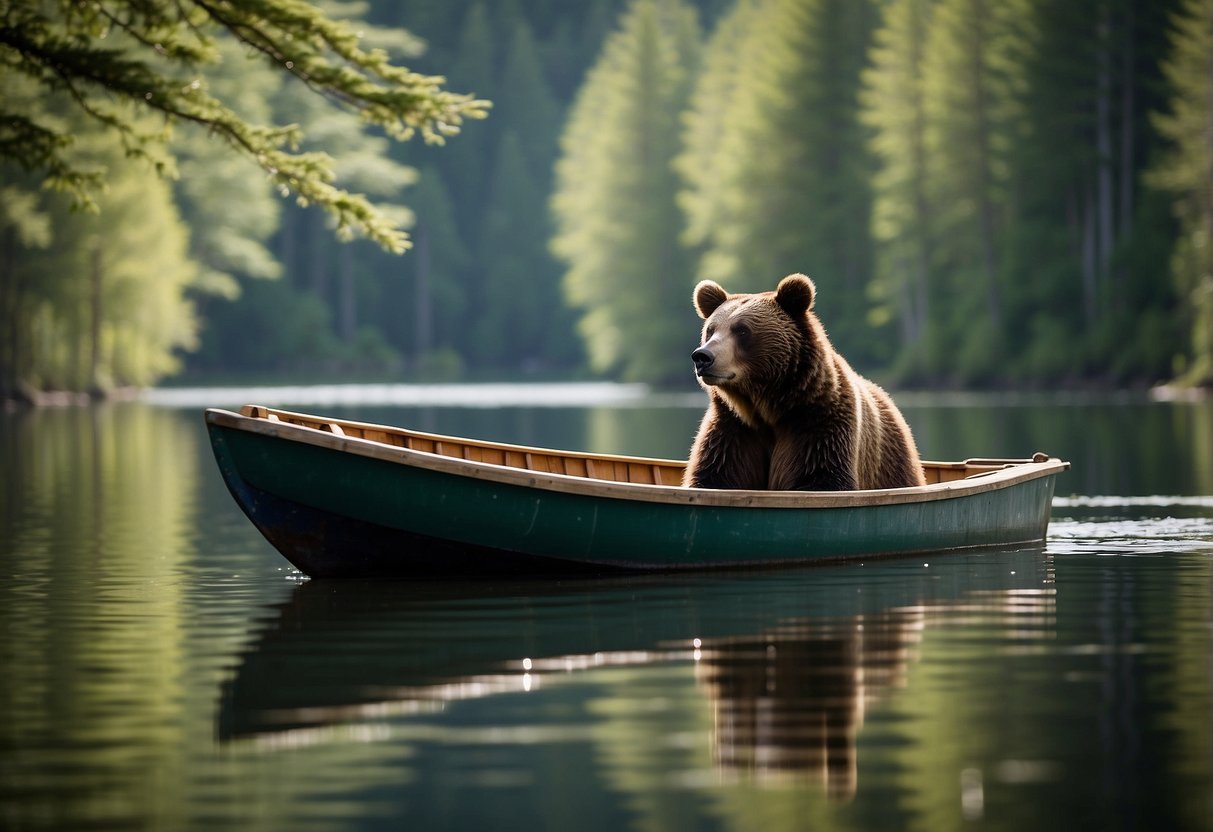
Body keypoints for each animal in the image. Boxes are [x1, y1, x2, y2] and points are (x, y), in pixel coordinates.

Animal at [684, 274, 926, 494]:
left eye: (742, 330)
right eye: (711, 330)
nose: (703, 357)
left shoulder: (819, 426)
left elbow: (822, 480)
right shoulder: (732, 429)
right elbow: (715, 475)